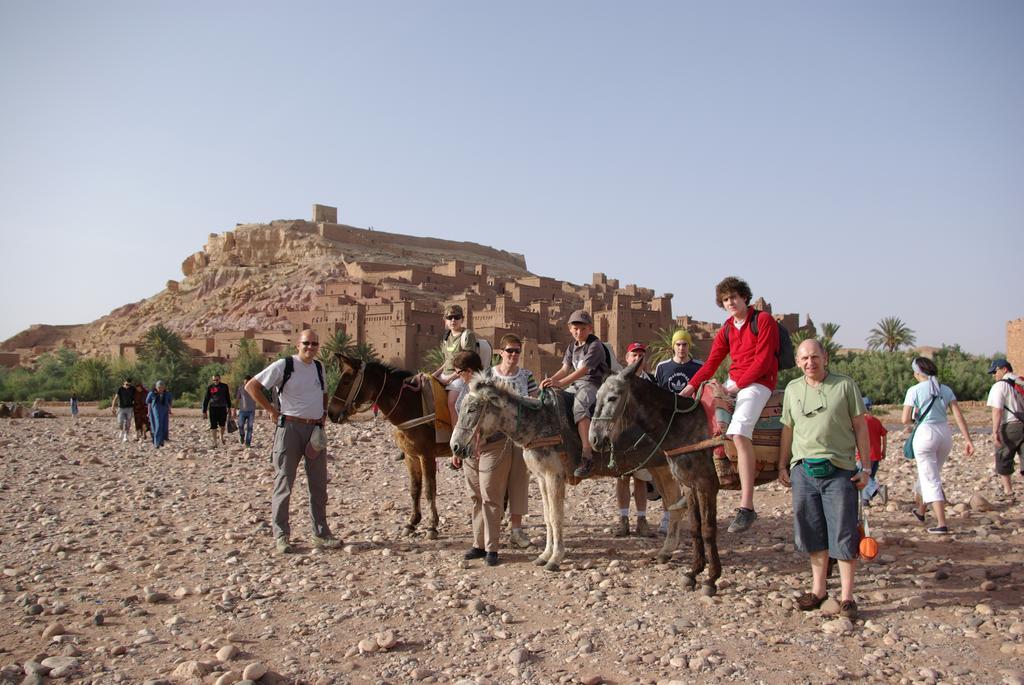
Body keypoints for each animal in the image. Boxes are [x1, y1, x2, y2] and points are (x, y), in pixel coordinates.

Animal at [327, 352, 448, 540]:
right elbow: (415, 489)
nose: (331, 413)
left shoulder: (427, 456)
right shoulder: (411, 456)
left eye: (346, 380)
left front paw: (432, 526)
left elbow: (429, 490)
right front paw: (412, 522)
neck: (412, 407)